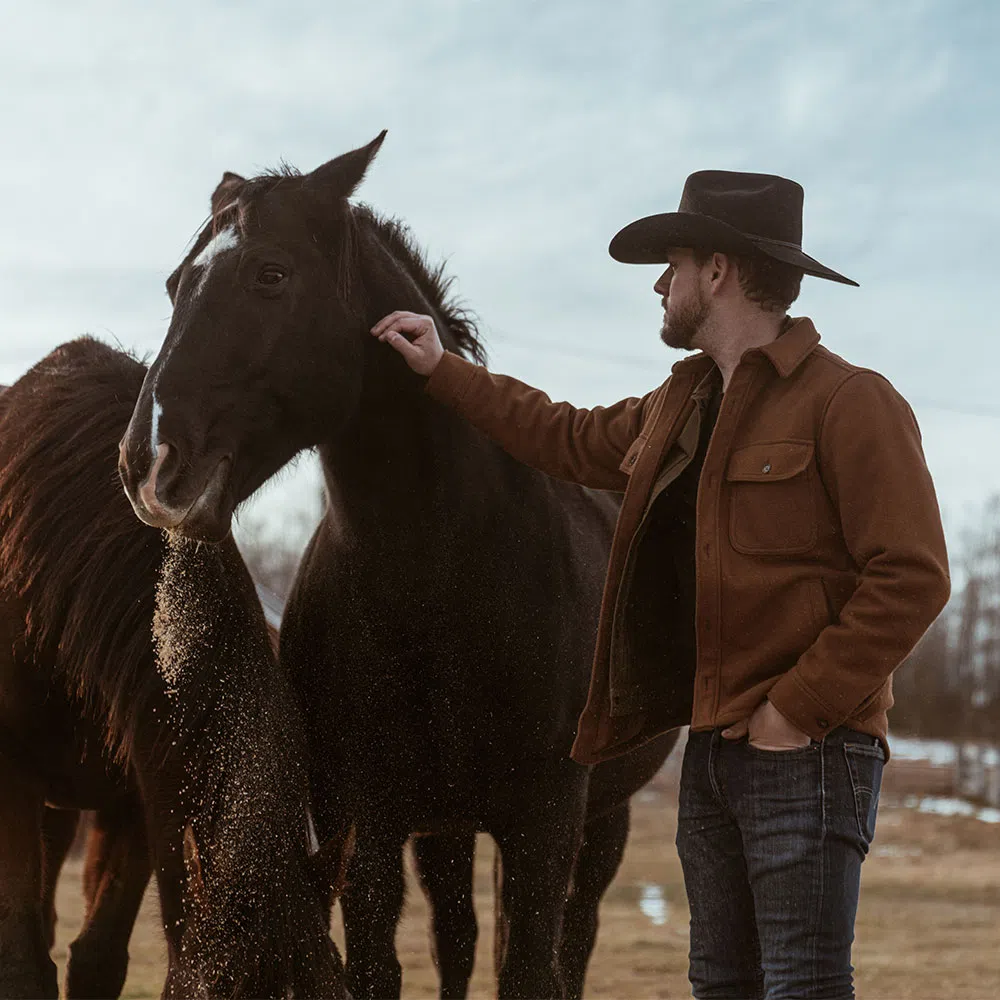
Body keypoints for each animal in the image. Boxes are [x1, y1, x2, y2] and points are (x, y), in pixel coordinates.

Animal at [117, 135, 680, 1000]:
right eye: (177, 284)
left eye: (271, 274)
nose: (147, 465)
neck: (443, 570)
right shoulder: (367, 821)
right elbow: (387, 964)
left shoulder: (546, 821)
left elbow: (533, 965)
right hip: (445, 827)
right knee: (458, 936)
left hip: (600, 820)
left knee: (571, 938)